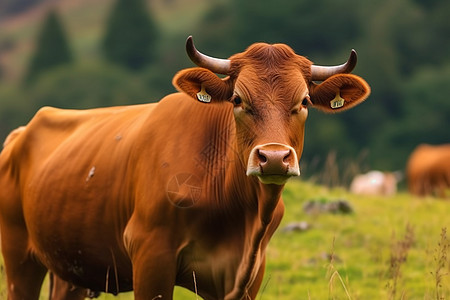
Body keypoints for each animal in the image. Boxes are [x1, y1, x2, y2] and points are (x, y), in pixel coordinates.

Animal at [0, 36, 370, 298]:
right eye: (238, 100)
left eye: (304, 101)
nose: (275, 157)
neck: (242, 213)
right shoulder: (150, 255)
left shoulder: (246, 275)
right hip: (19, 257)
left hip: (72, 265)